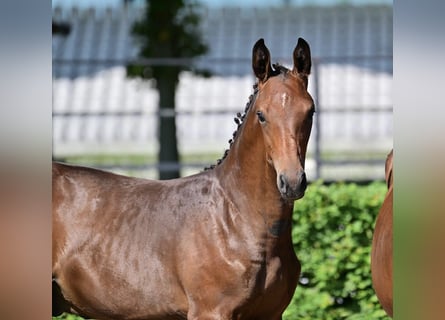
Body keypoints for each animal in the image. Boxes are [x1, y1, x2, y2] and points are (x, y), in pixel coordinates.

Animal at [52, 38, 314, 320]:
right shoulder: (210, 311)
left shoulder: (270, 314)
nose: (292, 182)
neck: (236, 220)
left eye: (310, 112)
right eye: (262, 115)